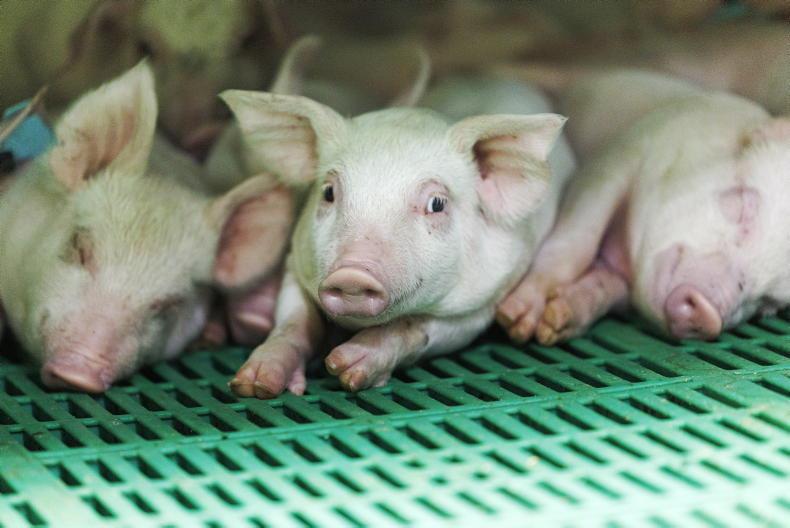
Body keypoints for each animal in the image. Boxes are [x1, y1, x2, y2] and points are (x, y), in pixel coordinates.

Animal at [220, 76, 575, 398]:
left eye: (437, 203)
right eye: (328, 192)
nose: (352, 273)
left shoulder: (484, 302)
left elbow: (413, 326)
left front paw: (346, 367)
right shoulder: (297, 262)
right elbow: (293, 321)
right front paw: (253, 385)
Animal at [496, 69, 790, 345]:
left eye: (768, 303)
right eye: (742, 203)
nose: (706, 314)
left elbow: (603, 289)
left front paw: (557, 321)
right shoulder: (617, 159)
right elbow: (576, 242)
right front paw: (516, 322)